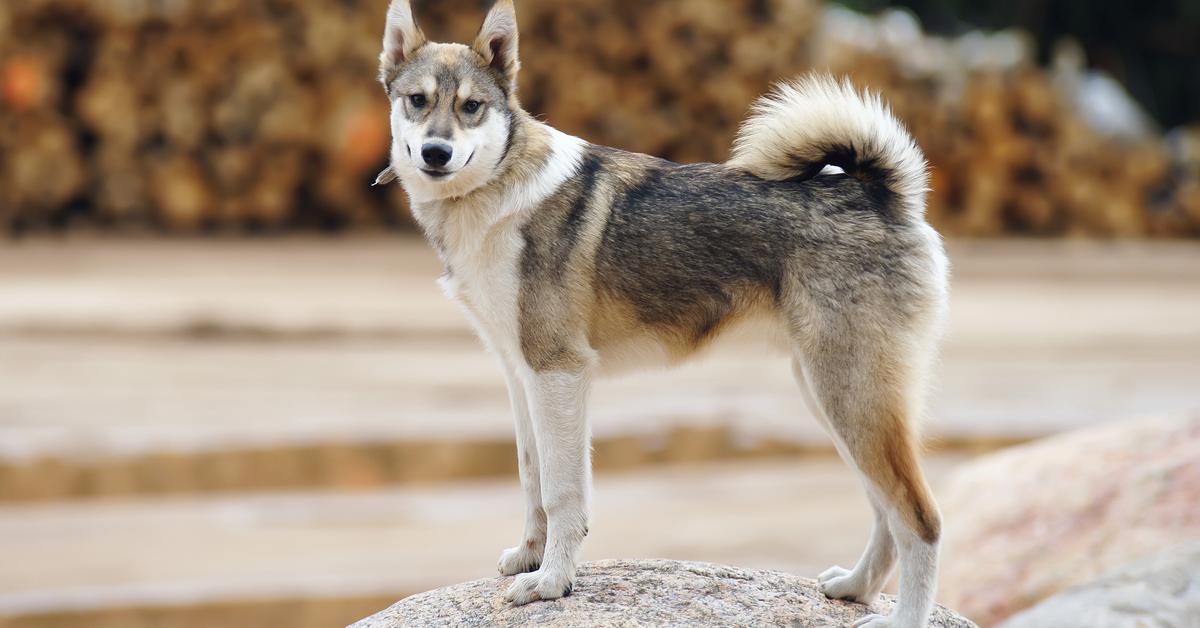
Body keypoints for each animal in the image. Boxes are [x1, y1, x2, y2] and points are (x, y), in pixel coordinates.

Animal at [374, 2, 945, 624]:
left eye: (471, 107)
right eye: (417, 100)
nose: (436, 153)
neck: (499, 192)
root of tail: (882, 194)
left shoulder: (558, 374)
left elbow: (562, 493)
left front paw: (550, 582)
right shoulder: (520, 375)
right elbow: (531, 481)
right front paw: (530, 557)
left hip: (851, 400)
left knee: (921, 520)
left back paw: (903, 616)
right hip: (835, 402)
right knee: (885, 513)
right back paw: (855, 587)